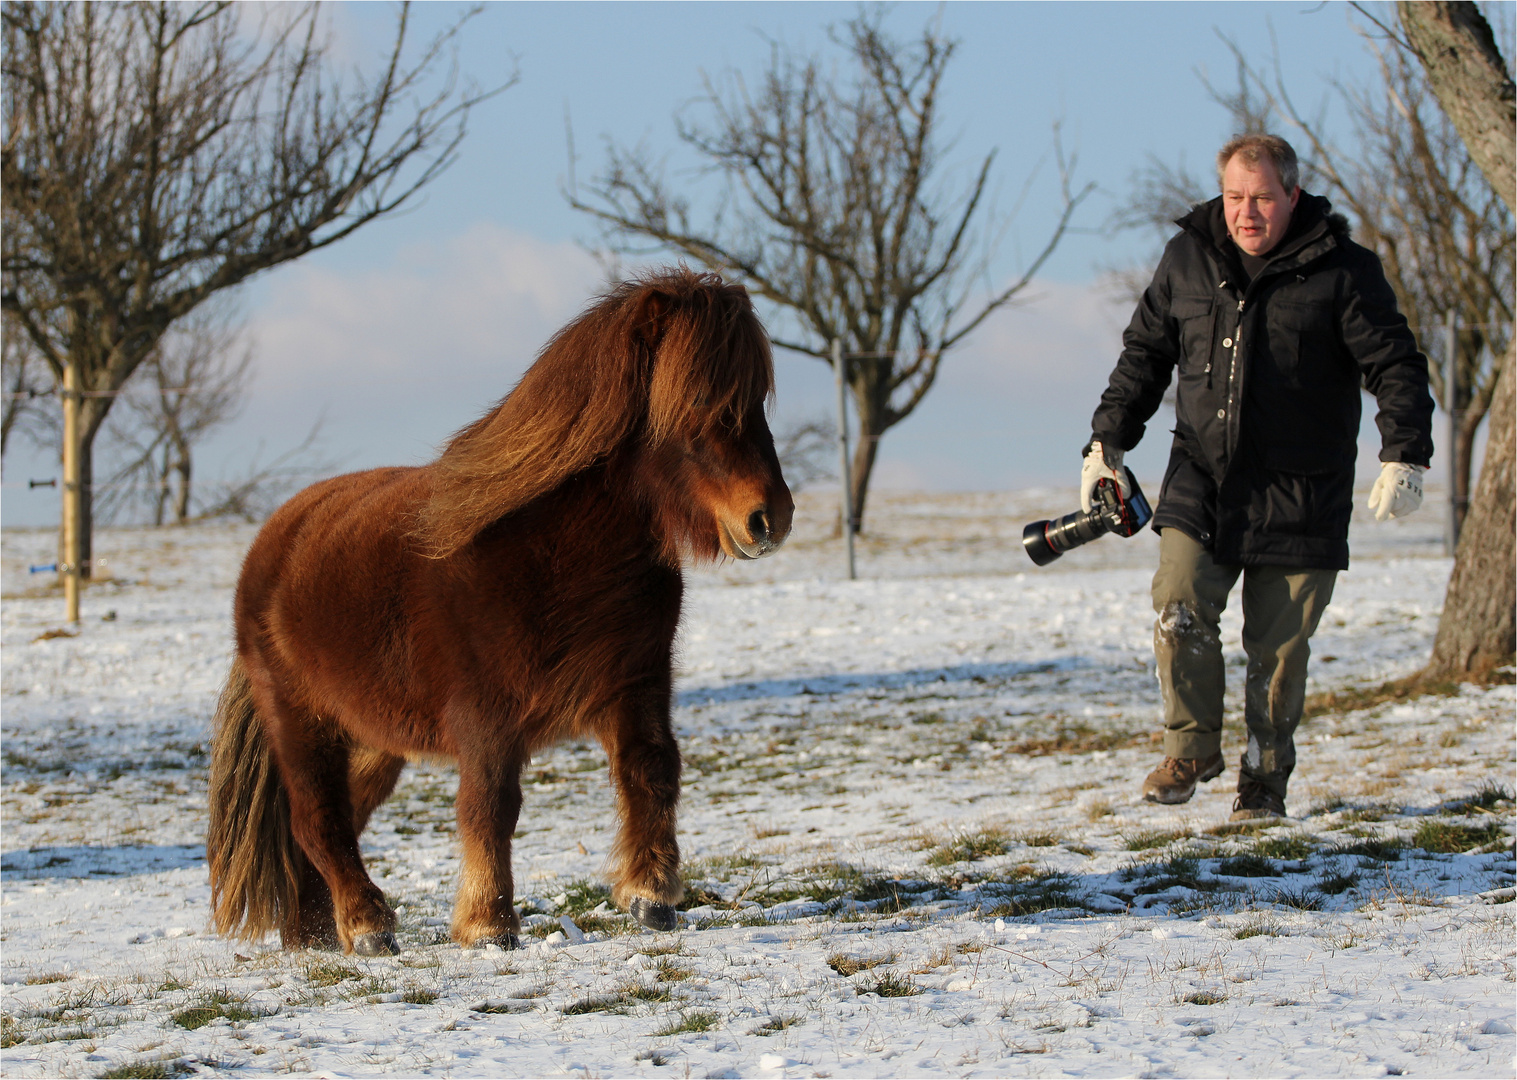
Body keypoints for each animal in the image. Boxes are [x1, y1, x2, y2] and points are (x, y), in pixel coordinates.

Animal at [207, 268, 794, 952]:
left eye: (758, 399)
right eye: (699, 399)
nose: (770, 519)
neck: (553, 549)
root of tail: (272, 543)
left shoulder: (635, 685)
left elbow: (652, 769)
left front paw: (652, 895)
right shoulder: (486, 718)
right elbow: (490, 806)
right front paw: (488, 923)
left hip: (376, 738)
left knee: (341, 817)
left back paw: (318, 933)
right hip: (304, 725)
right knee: (319, 819)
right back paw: (368, 926)